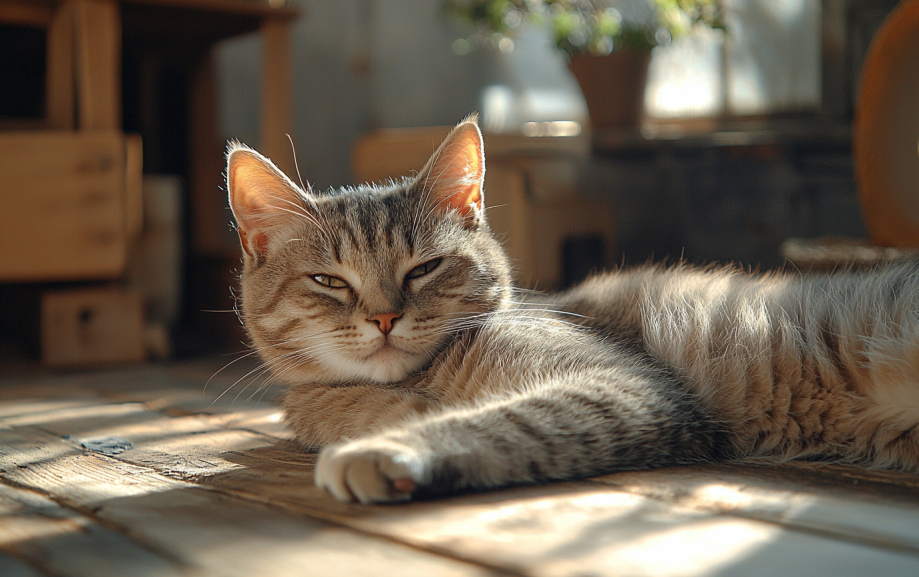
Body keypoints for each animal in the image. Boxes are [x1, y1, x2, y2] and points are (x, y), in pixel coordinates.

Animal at [225, 115, 919, 502]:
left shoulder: (628, 388)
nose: (384, 318)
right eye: (329, 281)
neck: (421, 381)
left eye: (424, 268)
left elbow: (507, 421)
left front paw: (390, 449)